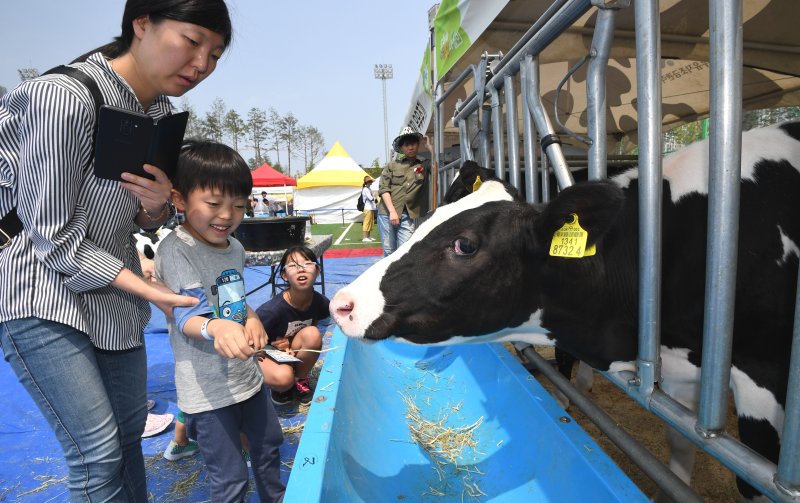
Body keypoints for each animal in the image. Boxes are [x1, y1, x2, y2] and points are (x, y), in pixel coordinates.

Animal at [332, 121, 800, 500]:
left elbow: (748, 482)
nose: (342, 303)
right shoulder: (682, 374)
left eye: (464, 244)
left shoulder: (763, 376)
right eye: (428, 217)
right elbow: (680, 446)